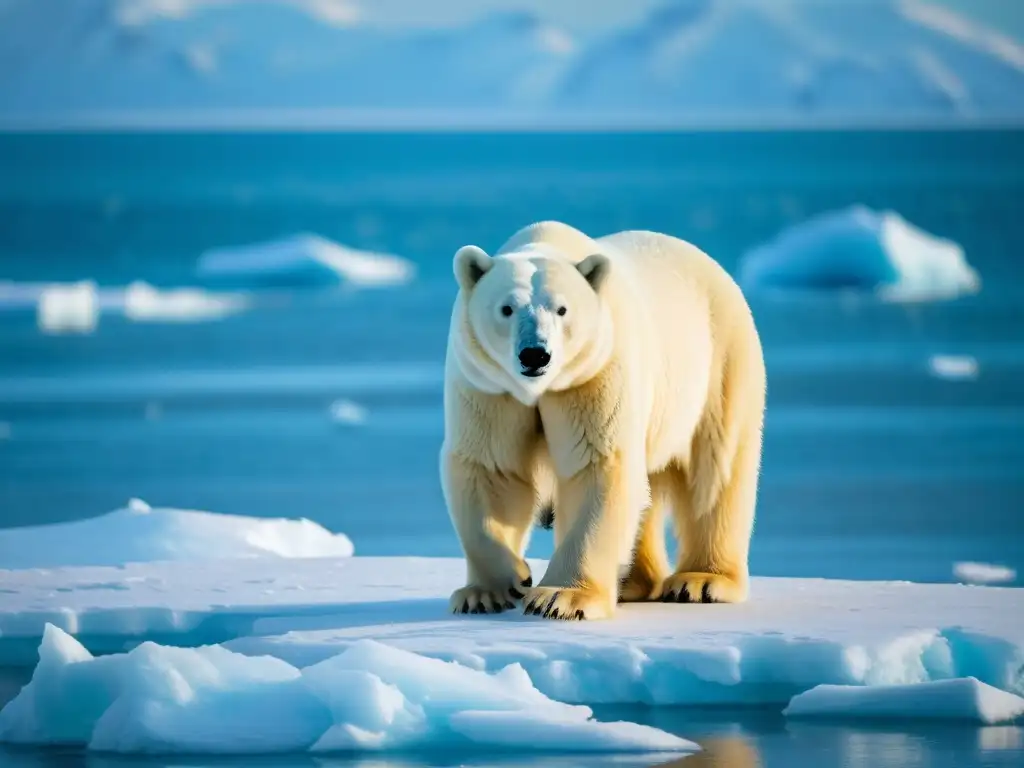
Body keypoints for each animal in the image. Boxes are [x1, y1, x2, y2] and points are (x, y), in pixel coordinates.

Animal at [444, 221, 765, 618]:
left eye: (562, 309)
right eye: (507, 308)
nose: (535, 354)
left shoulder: (595, 372)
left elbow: (597, 465)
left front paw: (561, 598)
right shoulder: (488, 385)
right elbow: (492, 468)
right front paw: (489, 590)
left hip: (719, 363)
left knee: (713, 472)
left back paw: (701, 581)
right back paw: (632, 582)